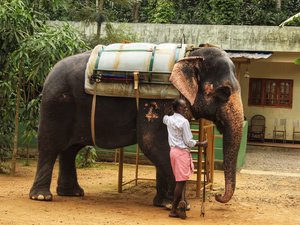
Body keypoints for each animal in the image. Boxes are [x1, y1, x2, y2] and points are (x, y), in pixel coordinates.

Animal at [29, 45, 244, 206]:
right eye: (224, 92)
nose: (218, 196)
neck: (189, 55)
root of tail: (49, 73)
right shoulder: (156, 102)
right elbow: (152, 142)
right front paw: (179, 205)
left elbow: (160, 146)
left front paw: (163, 203)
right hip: (55, 105)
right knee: (49, 146)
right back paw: (42, 196)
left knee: (70, 150)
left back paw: (73, 193)